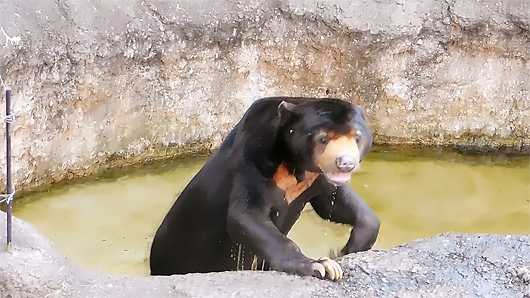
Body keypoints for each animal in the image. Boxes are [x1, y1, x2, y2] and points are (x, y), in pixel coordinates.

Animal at [148, 96, 380, 280]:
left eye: (357, 137)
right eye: (323, 138)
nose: (346, 163)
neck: (295, 163)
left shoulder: (317, 178)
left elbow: (331, 201)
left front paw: (347, 249)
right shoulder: (254, 157)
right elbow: (246, 215)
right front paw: (321, 265)